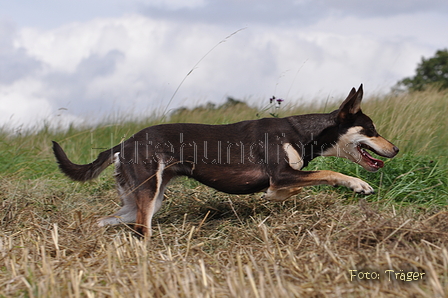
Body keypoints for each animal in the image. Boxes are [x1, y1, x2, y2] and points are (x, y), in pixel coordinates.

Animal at [52, 85, 400, 236]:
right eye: (371, 130)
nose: (395, 149)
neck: (299, 131)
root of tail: (124, 143)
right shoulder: (281, 173)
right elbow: (327, 172)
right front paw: (358, 184)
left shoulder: (283, 178)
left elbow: (294, 187)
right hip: (149, 193)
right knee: (140, 228)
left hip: (145, 197)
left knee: (110, 220)